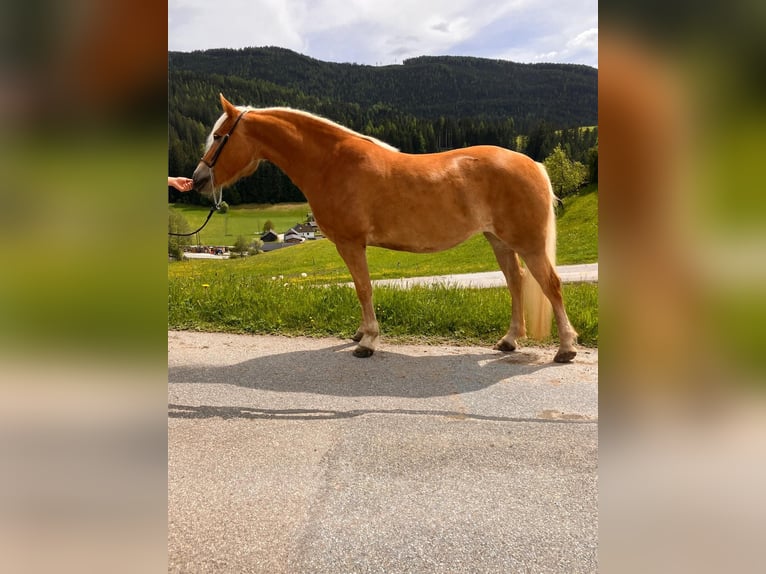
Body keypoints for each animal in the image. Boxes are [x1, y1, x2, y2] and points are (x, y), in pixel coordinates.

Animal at [195, 94, 580, 364]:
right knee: (516, 282)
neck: (331, 162)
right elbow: (359, 289)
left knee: (550, 284)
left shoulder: (351, 243)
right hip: (499, 240)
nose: (198, 180)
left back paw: (565, 348)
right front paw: (360, 334)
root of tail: (532, 163)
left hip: (528, 244)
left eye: (219, 136)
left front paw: (367, 342)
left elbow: (364, 288)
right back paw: (509, 340)